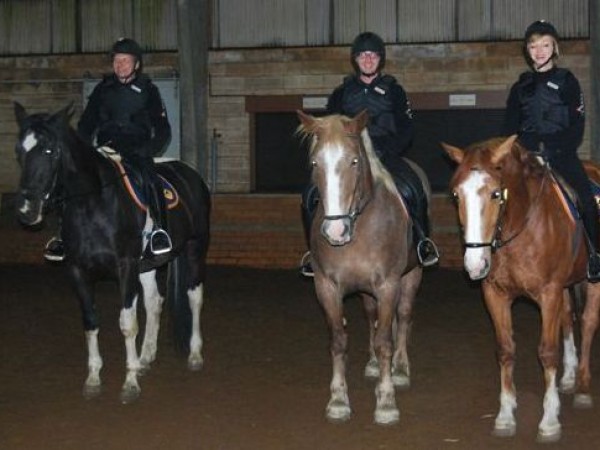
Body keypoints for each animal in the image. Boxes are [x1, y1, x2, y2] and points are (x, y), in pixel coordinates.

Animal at [13, 103, 211, 404]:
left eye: (49, 150)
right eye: (19, 151)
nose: (27, 211)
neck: (92, 203)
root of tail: (190, 173)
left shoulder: (125, 267)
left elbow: (127, 323)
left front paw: (129, 384)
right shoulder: (78, 271)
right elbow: (90, 321)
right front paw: (94, 378)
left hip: (194, 248)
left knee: (194, 297)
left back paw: (195, 355)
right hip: (147, 265)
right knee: (154, 302)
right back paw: (145, 358)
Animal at [298, 110, 424, 424]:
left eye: (354, 161)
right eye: (315, 163)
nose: (335, 231)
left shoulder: (389, 285)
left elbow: (385, 340)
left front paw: (387, 401)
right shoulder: (327, 287)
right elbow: (339, 340)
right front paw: (338, 400)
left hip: (412, 275)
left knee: (404, 317)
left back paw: (400, 369)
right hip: (367, 291)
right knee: (371, 317)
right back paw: (373, 364)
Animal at [442, 134, 600, 442]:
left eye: (495, 194)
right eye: (456, 195)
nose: (474, 264)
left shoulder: (548, 294)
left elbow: (547, 352)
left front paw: (549, 421)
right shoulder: (495, 294)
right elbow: (505, 350)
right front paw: (505, 417)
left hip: (592, 282)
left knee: (587, 323)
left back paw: (583, 387)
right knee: (568, 319)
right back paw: (569, 377)